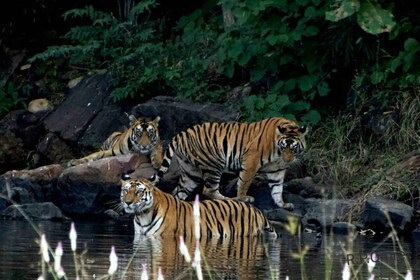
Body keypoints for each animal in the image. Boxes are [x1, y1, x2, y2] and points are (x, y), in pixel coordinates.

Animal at [151, 116, 306, 210]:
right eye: (284, 146)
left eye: (293, 148)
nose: (287, 160)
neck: (278, 154)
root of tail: (181, 134)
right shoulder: (251, 160)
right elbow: (244, 182)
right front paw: (244, 197)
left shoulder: (277, 170)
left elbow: (277, 188)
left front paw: (282, 204)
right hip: (214, 163)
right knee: (209, 190)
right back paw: (229, 199)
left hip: (190, 172)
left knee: (178, 192)